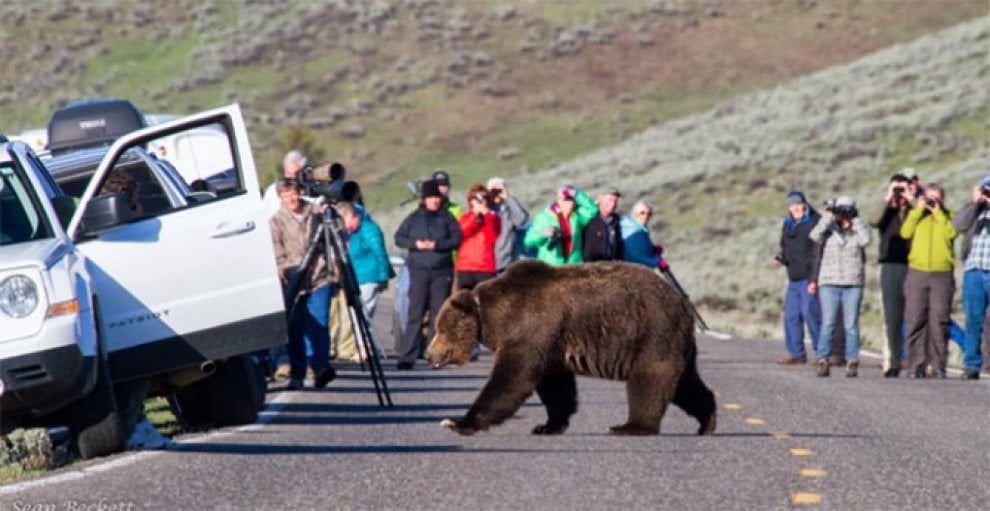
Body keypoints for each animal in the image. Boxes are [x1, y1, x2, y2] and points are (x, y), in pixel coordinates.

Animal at [426, 259, 717, 436]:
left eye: (441, 329)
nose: (429, 354)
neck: (496, 316)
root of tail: (683, 305)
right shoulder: (550, 344)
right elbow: (556, 387)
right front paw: (547, 425)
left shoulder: (532, 328)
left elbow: (512, 379)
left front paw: (456, 421)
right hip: (675, 342)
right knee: (686, 384)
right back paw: (707, 421)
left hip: (652, 330)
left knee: (649, 379)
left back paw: (630, 426)